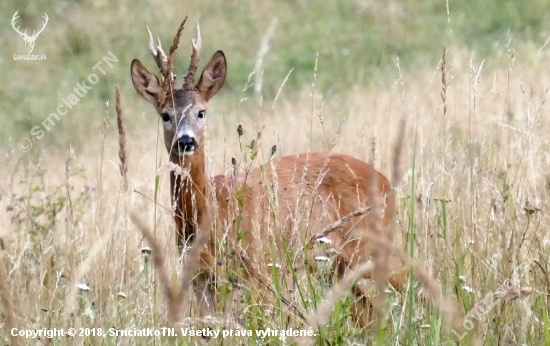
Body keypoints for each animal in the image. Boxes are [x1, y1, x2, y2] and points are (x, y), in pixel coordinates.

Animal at [133, 21, 410, 330]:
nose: (185, 141)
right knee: (367, 311)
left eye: (202, 112)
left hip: (370, 244)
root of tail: (386, 182)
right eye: (165, 115)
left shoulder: (259, 271)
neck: (212, 214)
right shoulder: (201, 281)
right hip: (333, 264)